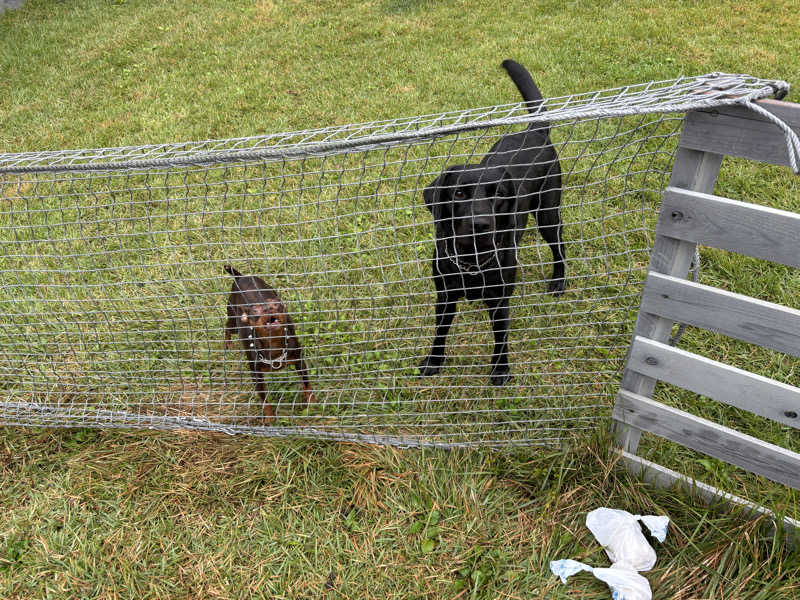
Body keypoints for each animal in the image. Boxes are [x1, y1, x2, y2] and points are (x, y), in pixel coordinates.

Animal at [225, 264, 316, 420]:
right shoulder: (257, 377)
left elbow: (306, 384)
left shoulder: (299, 361)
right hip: (233, 322)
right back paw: (228, 343)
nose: (269, 308)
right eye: (255, 310)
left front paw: (312, 401)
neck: (273, 344)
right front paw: (269, 417)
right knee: (227, 327)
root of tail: (240, 277)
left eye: (276, 305)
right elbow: (264, 399)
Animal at [416, 59, 564, 384]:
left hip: (548, 213)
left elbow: (501, 336)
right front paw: (433, 361)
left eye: (497, 194)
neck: (472, 259)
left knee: (560, 247)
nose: (481, 224)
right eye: (458, 193)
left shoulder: (499, 299)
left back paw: (559, 282)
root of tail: (535, 131)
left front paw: (500, 369)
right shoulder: (444, 295)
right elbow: (440, 331)